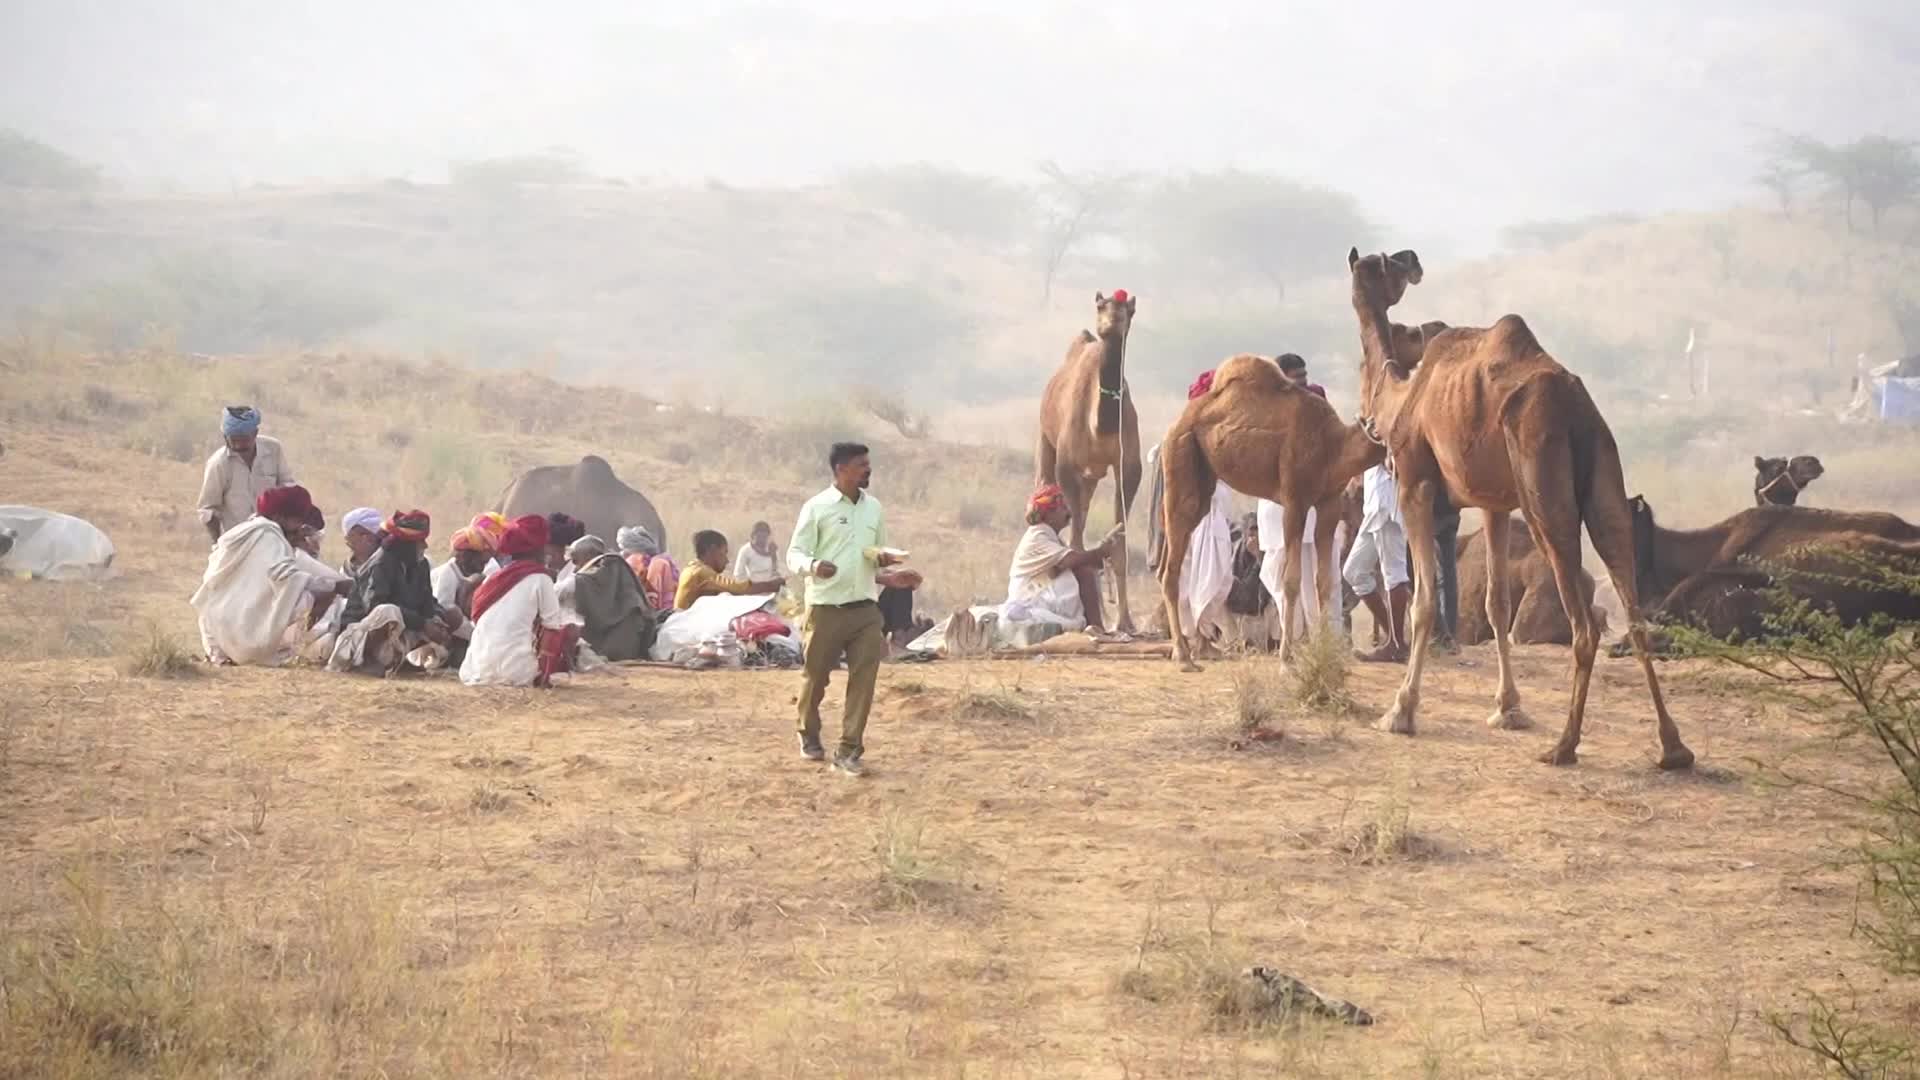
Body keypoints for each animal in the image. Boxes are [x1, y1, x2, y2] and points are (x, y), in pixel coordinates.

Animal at [1037, 291, 1144, 631]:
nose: (1111, 322)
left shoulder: (1128, 467)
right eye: (1101, 305)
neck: (1100, 425)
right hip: (1046, 443)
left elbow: (1118, 545)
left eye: (1128, 308)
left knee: (1081, 517)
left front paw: (1125, 622)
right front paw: (1094, 621)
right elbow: (1076, 546)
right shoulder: (1066, 466)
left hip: (1091, 476)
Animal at [1158, 355, 1385, 668]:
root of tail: (1177, 423)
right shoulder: (1295, 500)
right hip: (1181, 456)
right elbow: (1290, 581)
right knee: (1171, 568)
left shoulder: (1328, 503)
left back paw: (1191, 649)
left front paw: (1326, 656)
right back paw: (1184, 656)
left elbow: (1325, 582)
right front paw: (1286, 658)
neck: (1333, 446)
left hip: (1202, 479)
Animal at [1348, 247, 1692, 769]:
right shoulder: (1494, 504)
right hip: (1605, 478)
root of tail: (1576, 408)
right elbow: (1497, 603)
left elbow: (1424, 601)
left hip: (1542, 485)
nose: (1412, 258)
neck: (1398, 397)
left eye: (1384, 264)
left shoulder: (1415, 483)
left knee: (1584, 625)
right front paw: (1508, 709)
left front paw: (1400, 712)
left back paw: (1564, 745)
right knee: (1632, 610)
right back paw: (1673, 748)